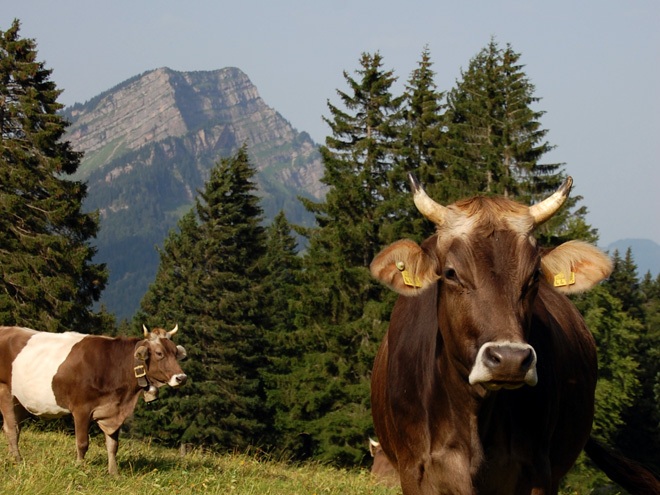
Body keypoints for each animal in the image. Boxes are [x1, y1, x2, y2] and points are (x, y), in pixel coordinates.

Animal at [0, 324, 187, 474]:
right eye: (159, 353)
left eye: (175, 353)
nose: (181, 378)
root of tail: (6, 328)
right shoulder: (81, 409)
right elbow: (82, 443)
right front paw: (79, 468)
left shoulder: (114, 409)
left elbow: (113, 445)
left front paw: (114, 473)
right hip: (5, 390)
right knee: (10, 428)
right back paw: (17, 460)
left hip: (20, 400)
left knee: (16, 428)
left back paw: (12, 458)